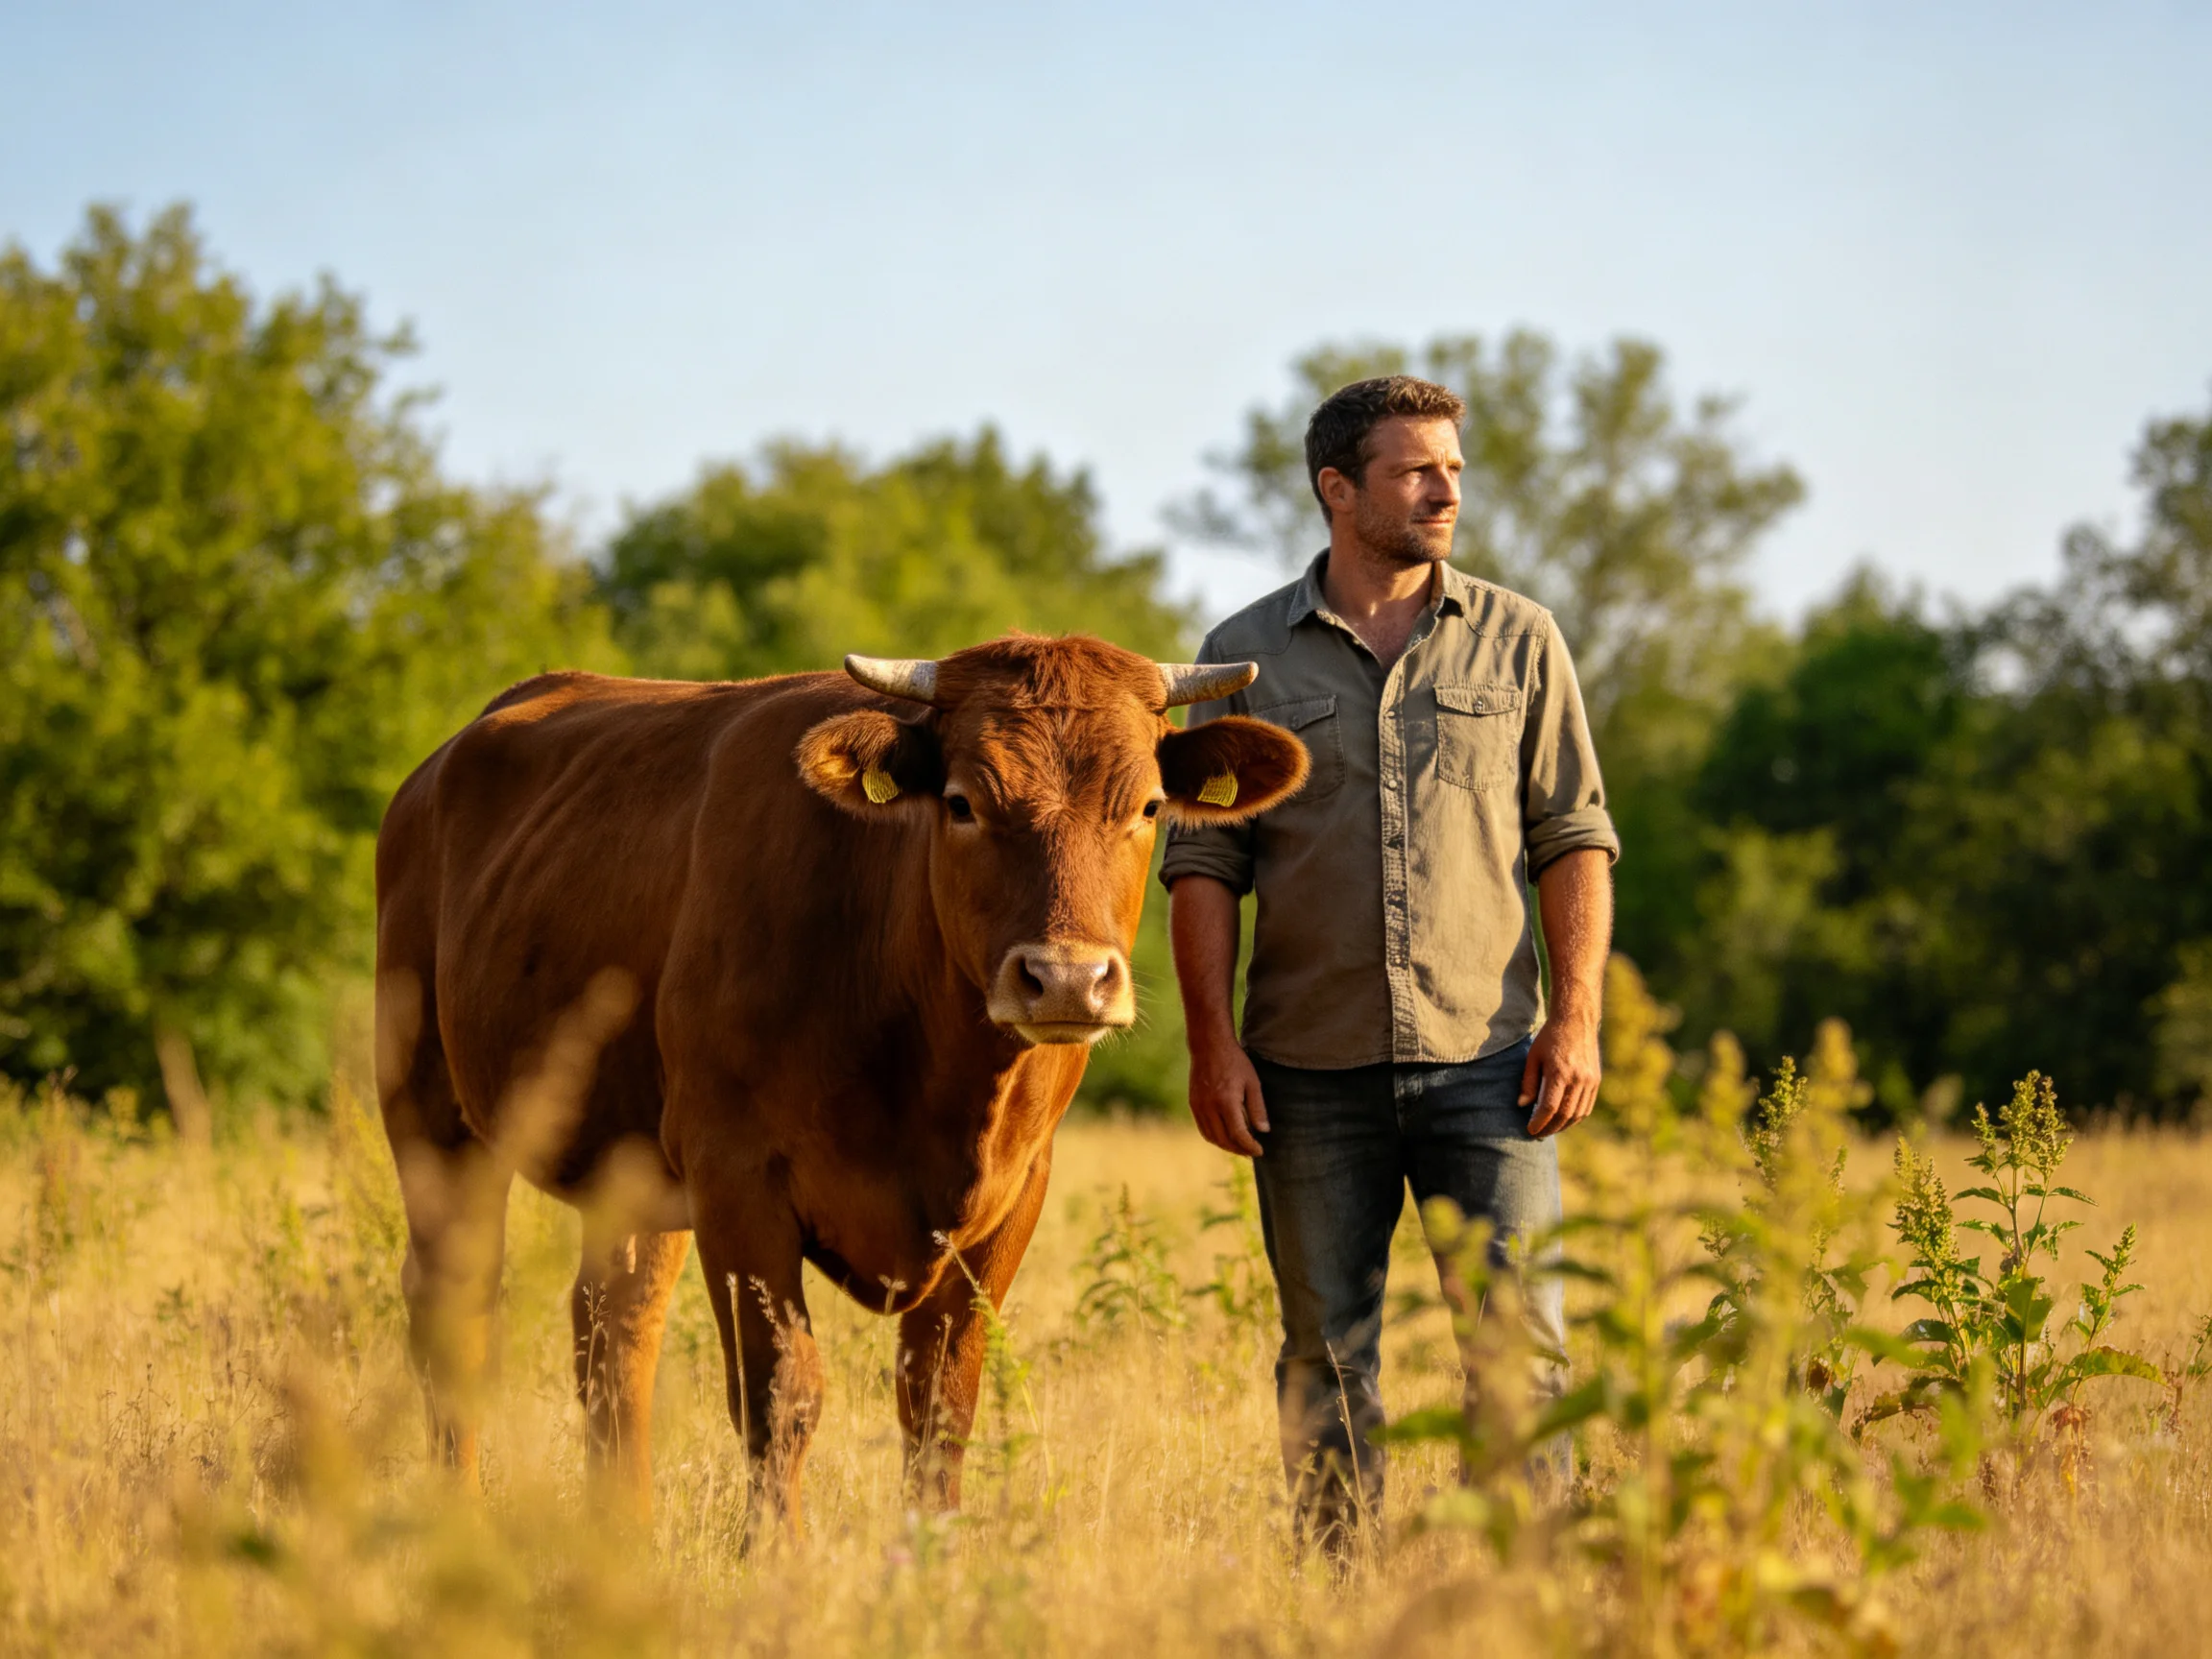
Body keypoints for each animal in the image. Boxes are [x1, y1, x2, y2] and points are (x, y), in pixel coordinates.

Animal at [373, 634, 1308, 1528]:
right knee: (454, 1317)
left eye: (1147, 806)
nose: (1069, 980)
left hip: (632, 1165)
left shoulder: (1013, 1196)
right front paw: (775, 1560)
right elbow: (779, 1396)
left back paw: (621, 1538)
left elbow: (940, 1408)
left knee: (614, 1332)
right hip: (433, 1120)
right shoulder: (737, 1182)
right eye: (962, 802)